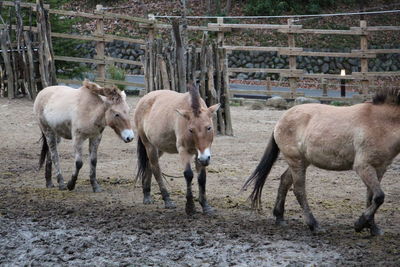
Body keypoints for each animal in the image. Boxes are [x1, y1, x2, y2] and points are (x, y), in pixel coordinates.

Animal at [135, 86, 222, 216]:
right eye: (191, 130)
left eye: (209, 127)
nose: (204, 159)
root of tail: (144, 99)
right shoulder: (184, 151)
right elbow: (188, 174)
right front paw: (190, 207)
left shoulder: (199, 153)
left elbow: (202, 178)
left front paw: (205, 206)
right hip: (149, 145)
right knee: (156, 169)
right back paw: (167, 200)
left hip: (158, 147)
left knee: (149, 166)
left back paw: (147, 196)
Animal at [242, 88, 400, 237]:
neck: (380, 123)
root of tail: (282, 119)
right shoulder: (363, 166)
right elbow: (379, 197)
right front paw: (359, 224)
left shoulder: (379, 168)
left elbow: (372, 197)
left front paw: (372, 228)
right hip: (296, 161)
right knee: (299, 190)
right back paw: (314, 225)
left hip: (301, 162)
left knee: (284, 181)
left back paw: (280, 217)